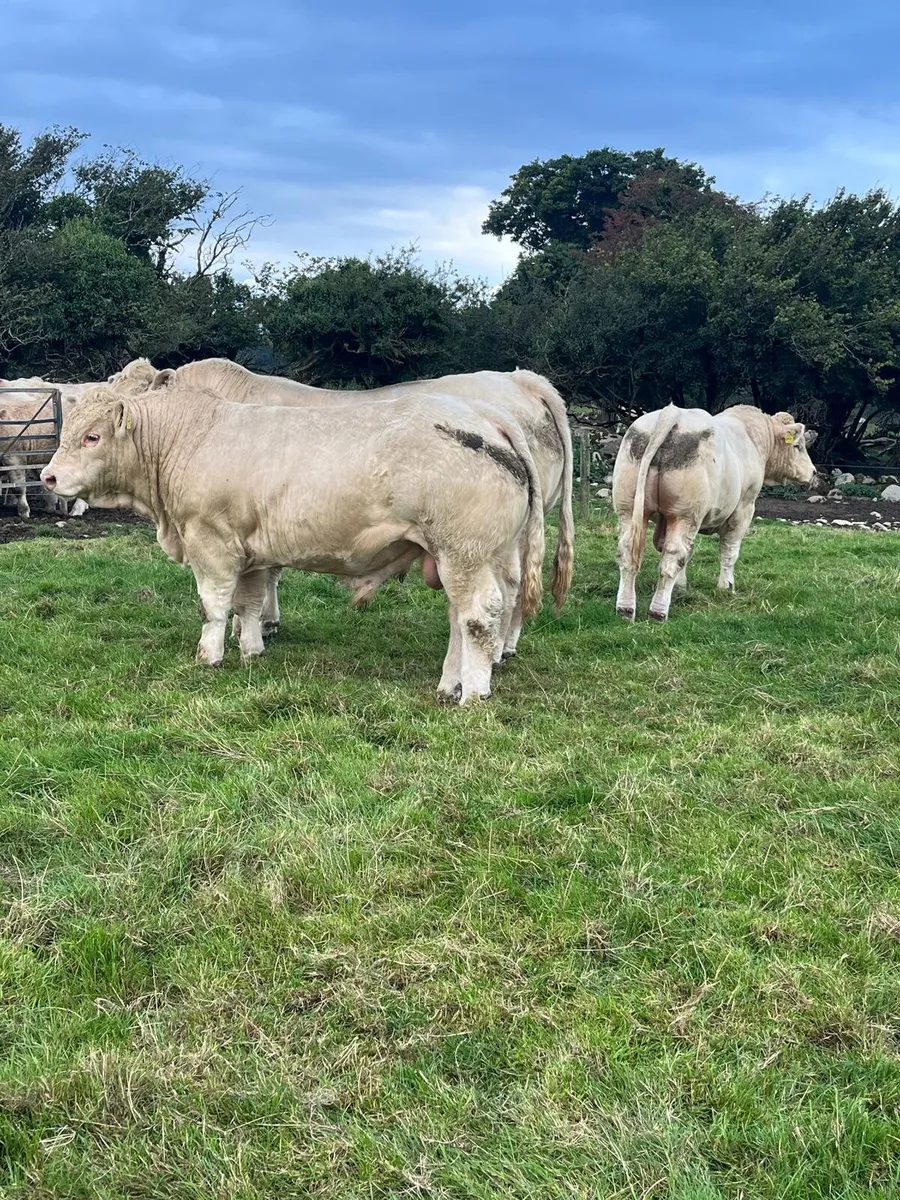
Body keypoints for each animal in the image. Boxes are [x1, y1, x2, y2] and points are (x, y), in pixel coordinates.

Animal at [41, 385, 547, 704]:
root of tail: (490, 418)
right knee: (461, 619)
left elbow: (213, 605)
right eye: (68, 432)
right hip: (461, 558)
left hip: (465, 553)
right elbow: (248, 604)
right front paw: (250, 650)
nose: (47, 477)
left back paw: (473, 692)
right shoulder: (248, 552)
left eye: (92, 436)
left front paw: (209, 655)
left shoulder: (210, 541)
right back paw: (449, 684)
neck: (190, 437)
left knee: (478, 616)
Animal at [613, 403, 818, 622]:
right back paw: (658, 611)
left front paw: (681, 585)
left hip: (630, 509)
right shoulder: (744, 507)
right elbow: (729, 550)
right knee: (673, 555)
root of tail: (673, 412)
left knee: (630, 552)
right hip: (684, 515)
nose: (813, 472)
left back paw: (625, 609)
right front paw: (726, 587)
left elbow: (683, 550)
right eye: (797, 446)